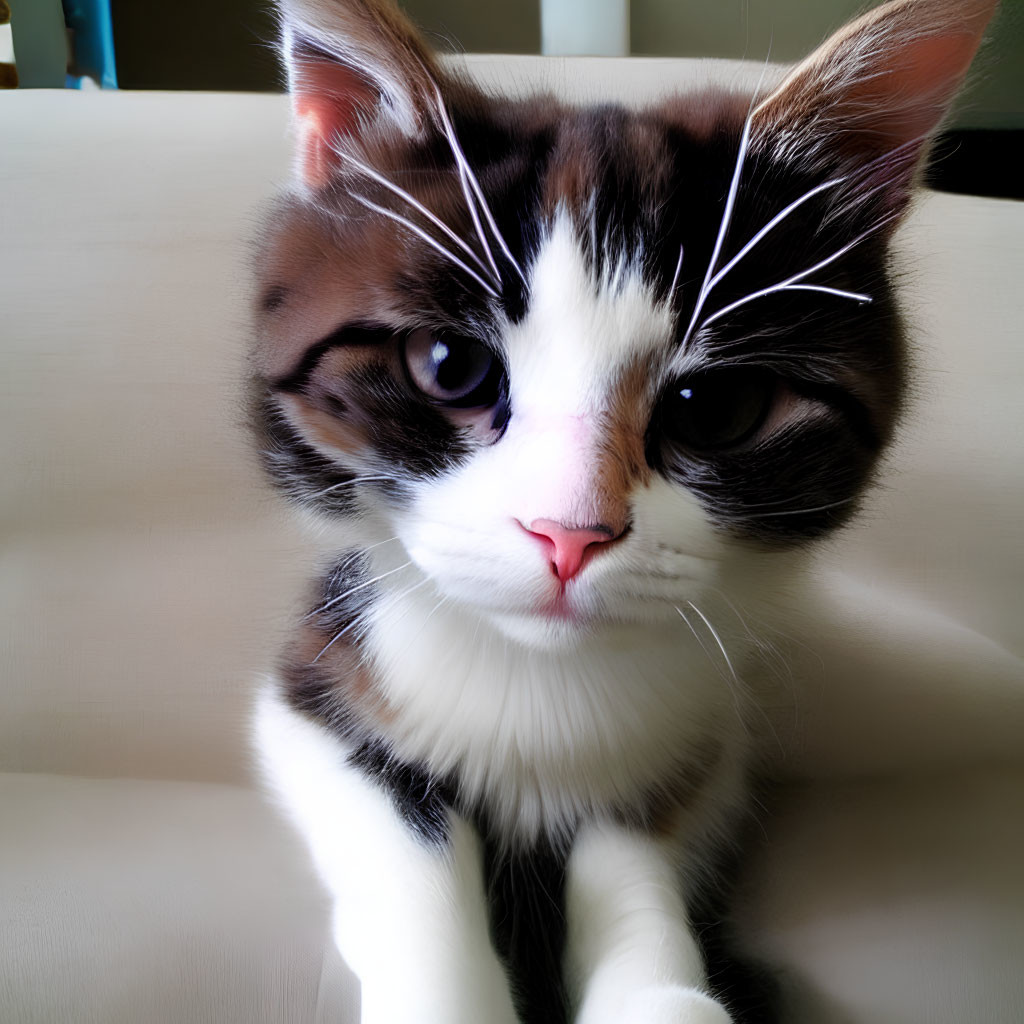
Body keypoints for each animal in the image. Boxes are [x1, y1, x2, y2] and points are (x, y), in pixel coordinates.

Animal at [249, 2, 999, 1024]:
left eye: (716, 407)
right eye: (449, 366)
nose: (569, 534)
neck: (542, 686)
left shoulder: (699, 746)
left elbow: (636, 842)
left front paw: (663, 987)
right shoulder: (317, 679)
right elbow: (400, 830)